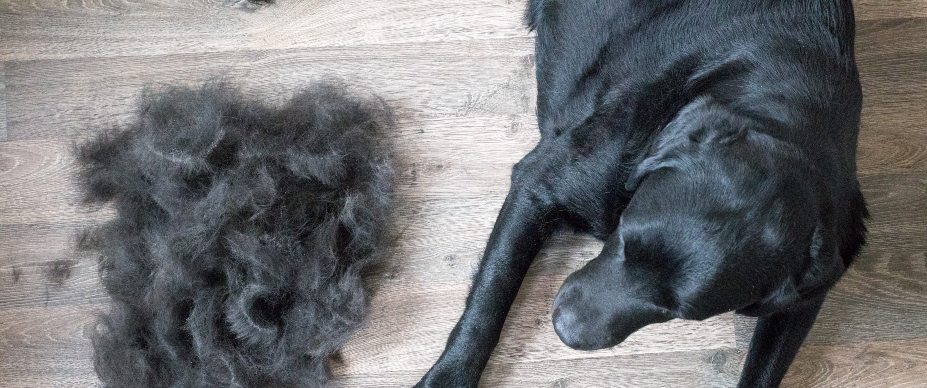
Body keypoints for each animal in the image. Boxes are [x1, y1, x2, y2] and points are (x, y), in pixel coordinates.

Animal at [416, 1, 868, 386]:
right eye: (623, 239)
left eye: (675, 311)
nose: (565, 328)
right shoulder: (537, 186)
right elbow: (489, 301)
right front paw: (448, 378)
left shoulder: (811, 285)